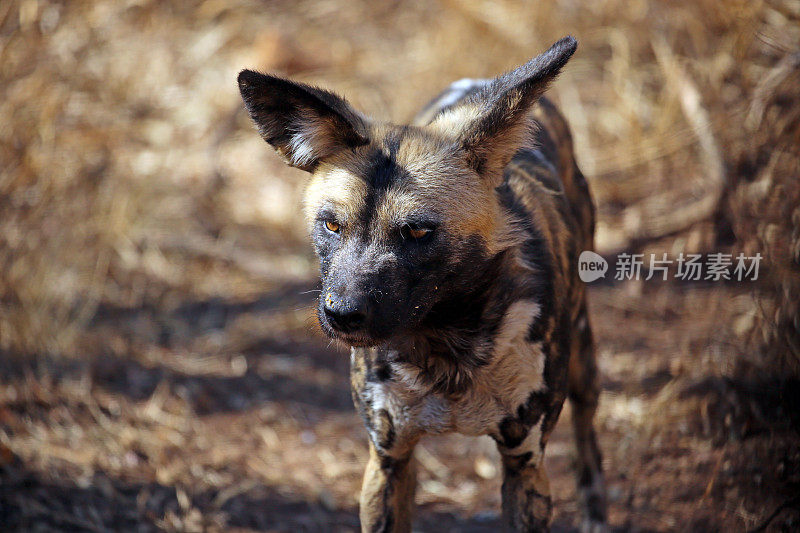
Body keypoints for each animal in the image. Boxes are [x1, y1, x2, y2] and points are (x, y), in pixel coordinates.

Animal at [238, 35, 608, 528]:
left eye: (416, 231)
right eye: (332, 225)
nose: (342, 315)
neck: (444, 340)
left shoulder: (524, 465)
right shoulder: (388, 459)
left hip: (583, 357)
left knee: (587, 422)